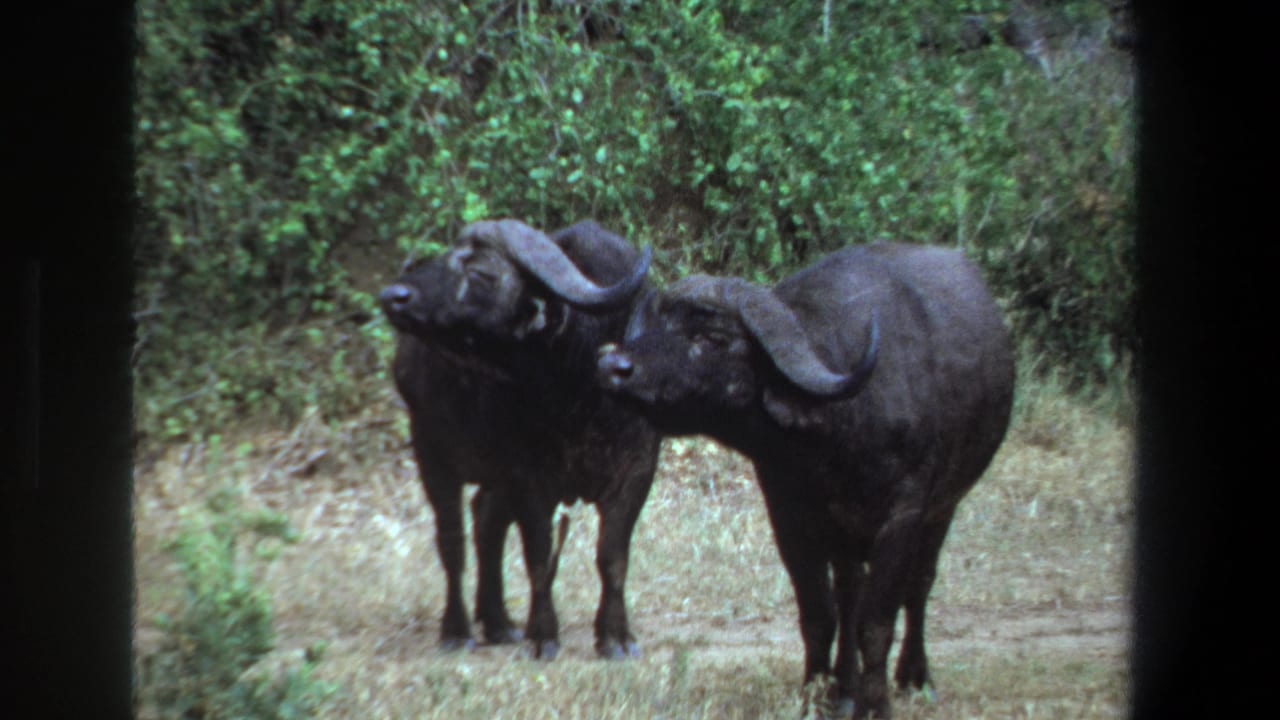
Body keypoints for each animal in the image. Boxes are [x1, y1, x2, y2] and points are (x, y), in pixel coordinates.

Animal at [379, 219, 661, 659]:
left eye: (480, 272)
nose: (395, 296)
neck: (581, 390)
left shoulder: (637, 472)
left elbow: (612, 557)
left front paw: (615, 637)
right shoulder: (529, 477)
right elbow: (539, 556)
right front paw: (544, 635)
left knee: (486, 522)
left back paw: (497, 621)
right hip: (431, 453)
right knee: (453, 542)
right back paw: (456, 630)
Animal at [597, 242, 1014, 718]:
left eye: (712, 338)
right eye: (658, 325)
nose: (613, 365)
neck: (834, 435)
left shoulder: (902, 518)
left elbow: (877, 621)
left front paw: (876, 703)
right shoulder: (790, 518)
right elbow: (819, 615)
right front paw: (816, 694)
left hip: (943, 508)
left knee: (919, 584)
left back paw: (914, 676)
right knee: (850, 593)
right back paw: (846, 689)